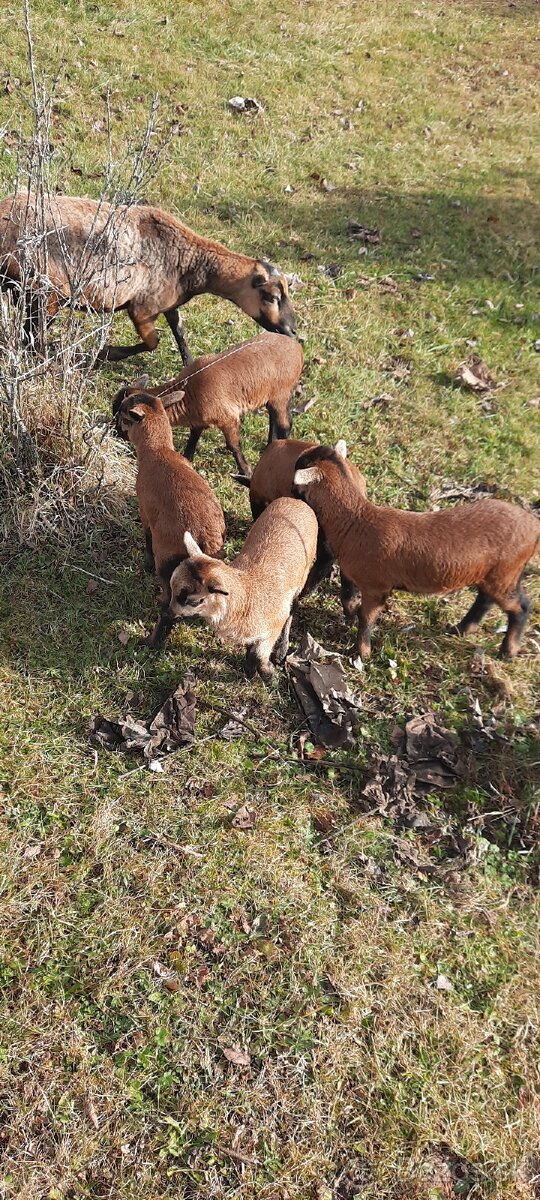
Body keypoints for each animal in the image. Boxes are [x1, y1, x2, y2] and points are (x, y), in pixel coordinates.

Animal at [0, 188, 295, 360]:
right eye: (271, 297)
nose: (292, 331)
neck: (191, 263)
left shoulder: (168, 302)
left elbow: (180, 333)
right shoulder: (142, 307)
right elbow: (154, 342)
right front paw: (108, 353)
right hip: (45, 293)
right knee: (33, 337)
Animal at [112, 333, 303, 477]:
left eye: (125, 418)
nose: (115, 434)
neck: (188, 392)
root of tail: (298, 348)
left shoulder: (228, 419)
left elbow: (233, 446)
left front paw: (246, 472)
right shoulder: (198, 421)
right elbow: (192, 440)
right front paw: (187, 461)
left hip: (280, 394)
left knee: (285, 424)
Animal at [115, 391, 225, 648]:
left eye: (123, 415)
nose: (114, 428)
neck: (159, 449)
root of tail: (207, 538)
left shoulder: (145, 511)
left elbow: (146, 537)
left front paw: (145, 565)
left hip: (169, 566)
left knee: (169, 605)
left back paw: (152, 641)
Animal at [162, 496, 319, 681]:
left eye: (194, 601)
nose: (167, 614)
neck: (246, 595)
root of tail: (296, 501)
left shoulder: (275, 623)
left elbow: (260, 653)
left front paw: (268, 673)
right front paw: (250, 671)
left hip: (302, 576)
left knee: (293, 607)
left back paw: (281, 650)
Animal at [292, 446, 537, 667]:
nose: (291, 493)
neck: (357, 520)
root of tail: (533, 526)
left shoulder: (376, 586)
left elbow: (366, 618)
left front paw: (360, 652)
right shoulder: (353, 572)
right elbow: (348, 598)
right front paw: (349, 619)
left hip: (506, 571)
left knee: (521, 606)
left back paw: (508, 651)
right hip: (493, 572)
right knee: (485, 598)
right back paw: (461, 629)